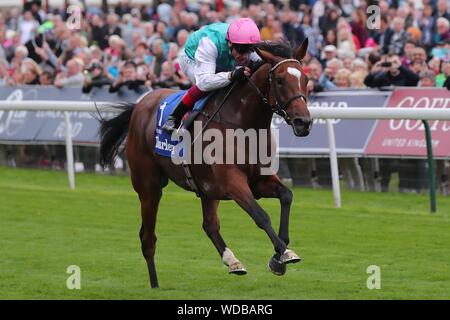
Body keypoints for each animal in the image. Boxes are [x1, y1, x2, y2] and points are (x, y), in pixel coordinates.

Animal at [99, 38, 312, 288]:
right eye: (279, 80)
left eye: (305, 79)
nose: (303, 122)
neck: (244, 125)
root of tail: (140, 105)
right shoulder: (233, 183)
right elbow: (260, 215)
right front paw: (282, 253)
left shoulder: (259, 180)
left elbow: (287, 196)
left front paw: (280, 254)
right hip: (148, 185)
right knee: (147, 237)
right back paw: (155, 286)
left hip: (207, 188)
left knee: (209, 225)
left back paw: (233, 262)